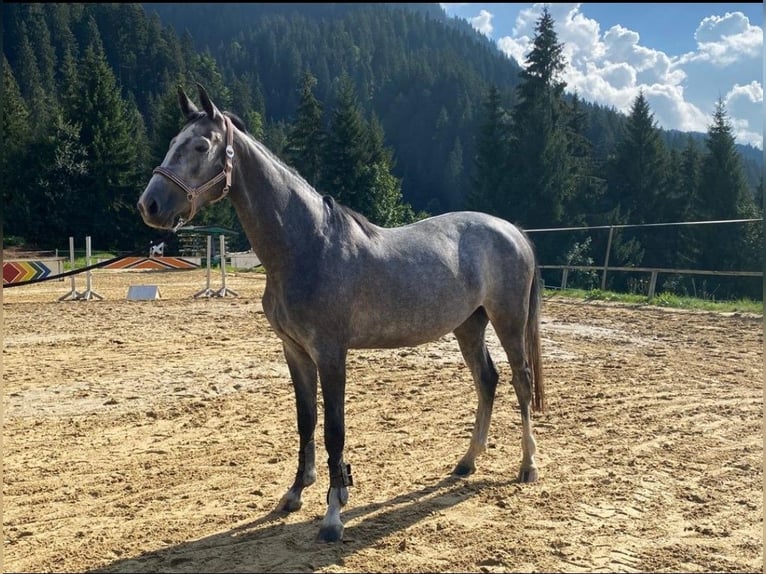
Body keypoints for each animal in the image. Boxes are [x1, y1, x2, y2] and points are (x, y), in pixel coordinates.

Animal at [136, 84, 544, 544]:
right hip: (468, 325)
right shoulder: (295, 352)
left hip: (508, 321)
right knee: (487, 380)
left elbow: (334, 430)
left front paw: (333, 514)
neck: (308, 245)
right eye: (173, 142)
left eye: (201, 146)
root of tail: (512, 230)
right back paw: (467, 462)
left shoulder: (331, 354)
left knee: (521, 381)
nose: (149, 205)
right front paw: (294, 494)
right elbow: (306, 421)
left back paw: (528, 465)